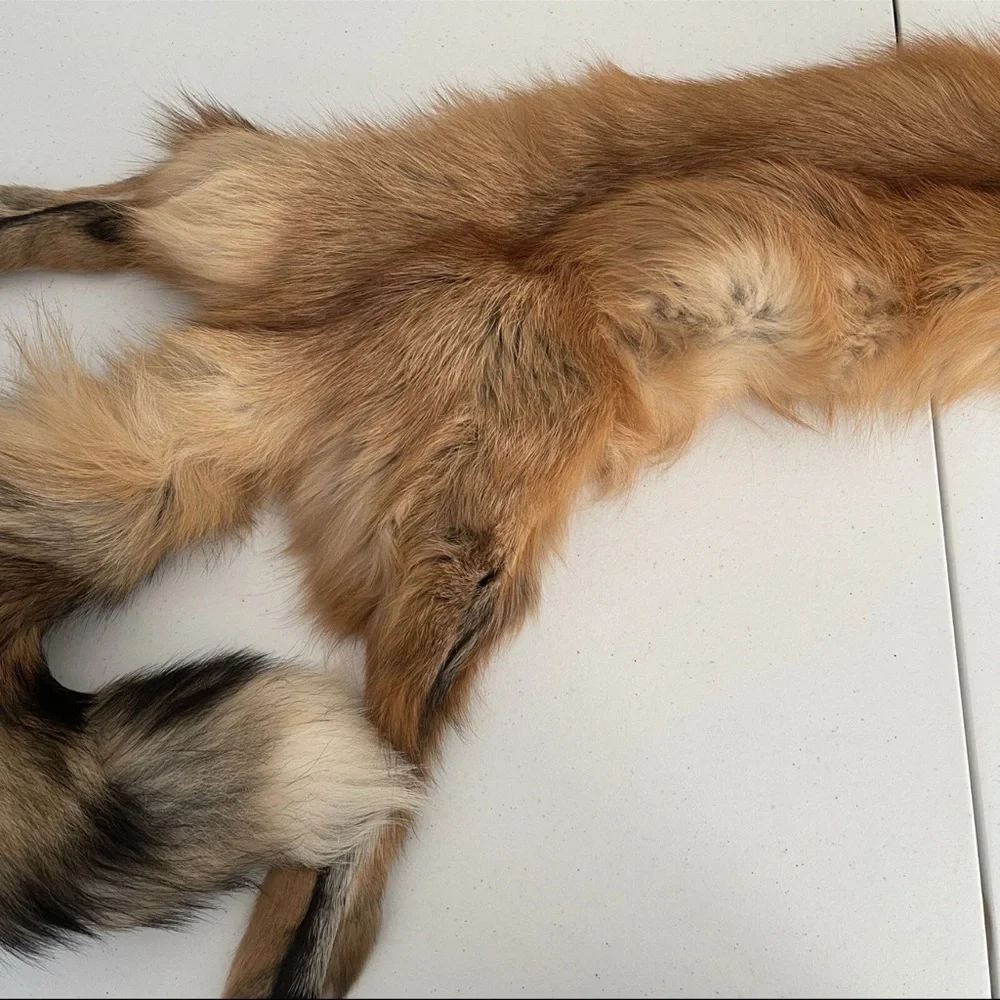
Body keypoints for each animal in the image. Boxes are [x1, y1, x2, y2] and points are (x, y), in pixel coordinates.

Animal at [5, 30, 1000, 1000]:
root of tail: (312, 336)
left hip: (247, 206)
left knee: (101, 212)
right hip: (470, 582)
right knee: (374, 800)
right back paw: (306, 968)